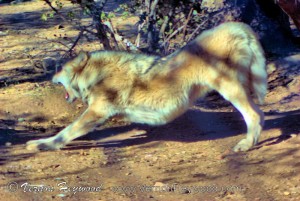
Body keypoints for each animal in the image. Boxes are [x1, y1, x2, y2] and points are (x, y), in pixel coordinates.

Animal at [26, 22, 268, 152]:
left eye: (59, 69)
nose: (50, 76)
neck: (96, 75)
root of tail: (238, 25)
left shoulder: (96, 112)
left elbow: (65, 133)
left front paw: (41, 144)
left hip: (230, 90)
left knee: (254, 115)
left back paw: (246, 144)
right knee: (261, 114)